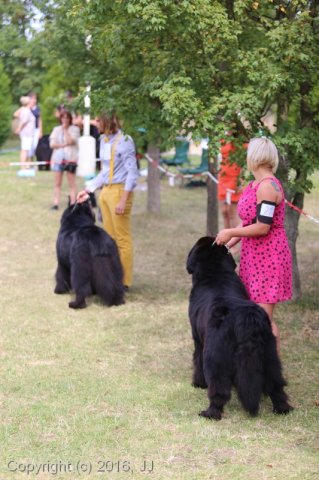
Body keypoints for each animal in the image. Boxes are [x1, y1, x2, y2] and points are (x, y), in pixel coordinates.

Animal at [188, 236, 296, 420]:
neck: (215, 273)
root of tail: (246, 318)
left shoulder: (198, 339)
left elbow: (197, 359)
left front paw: (198, 383)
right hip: (270, 354)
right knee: (276, 385)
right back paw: (282, 408)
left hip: (215, 356)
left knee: (219, 389)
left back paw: (210, 413)